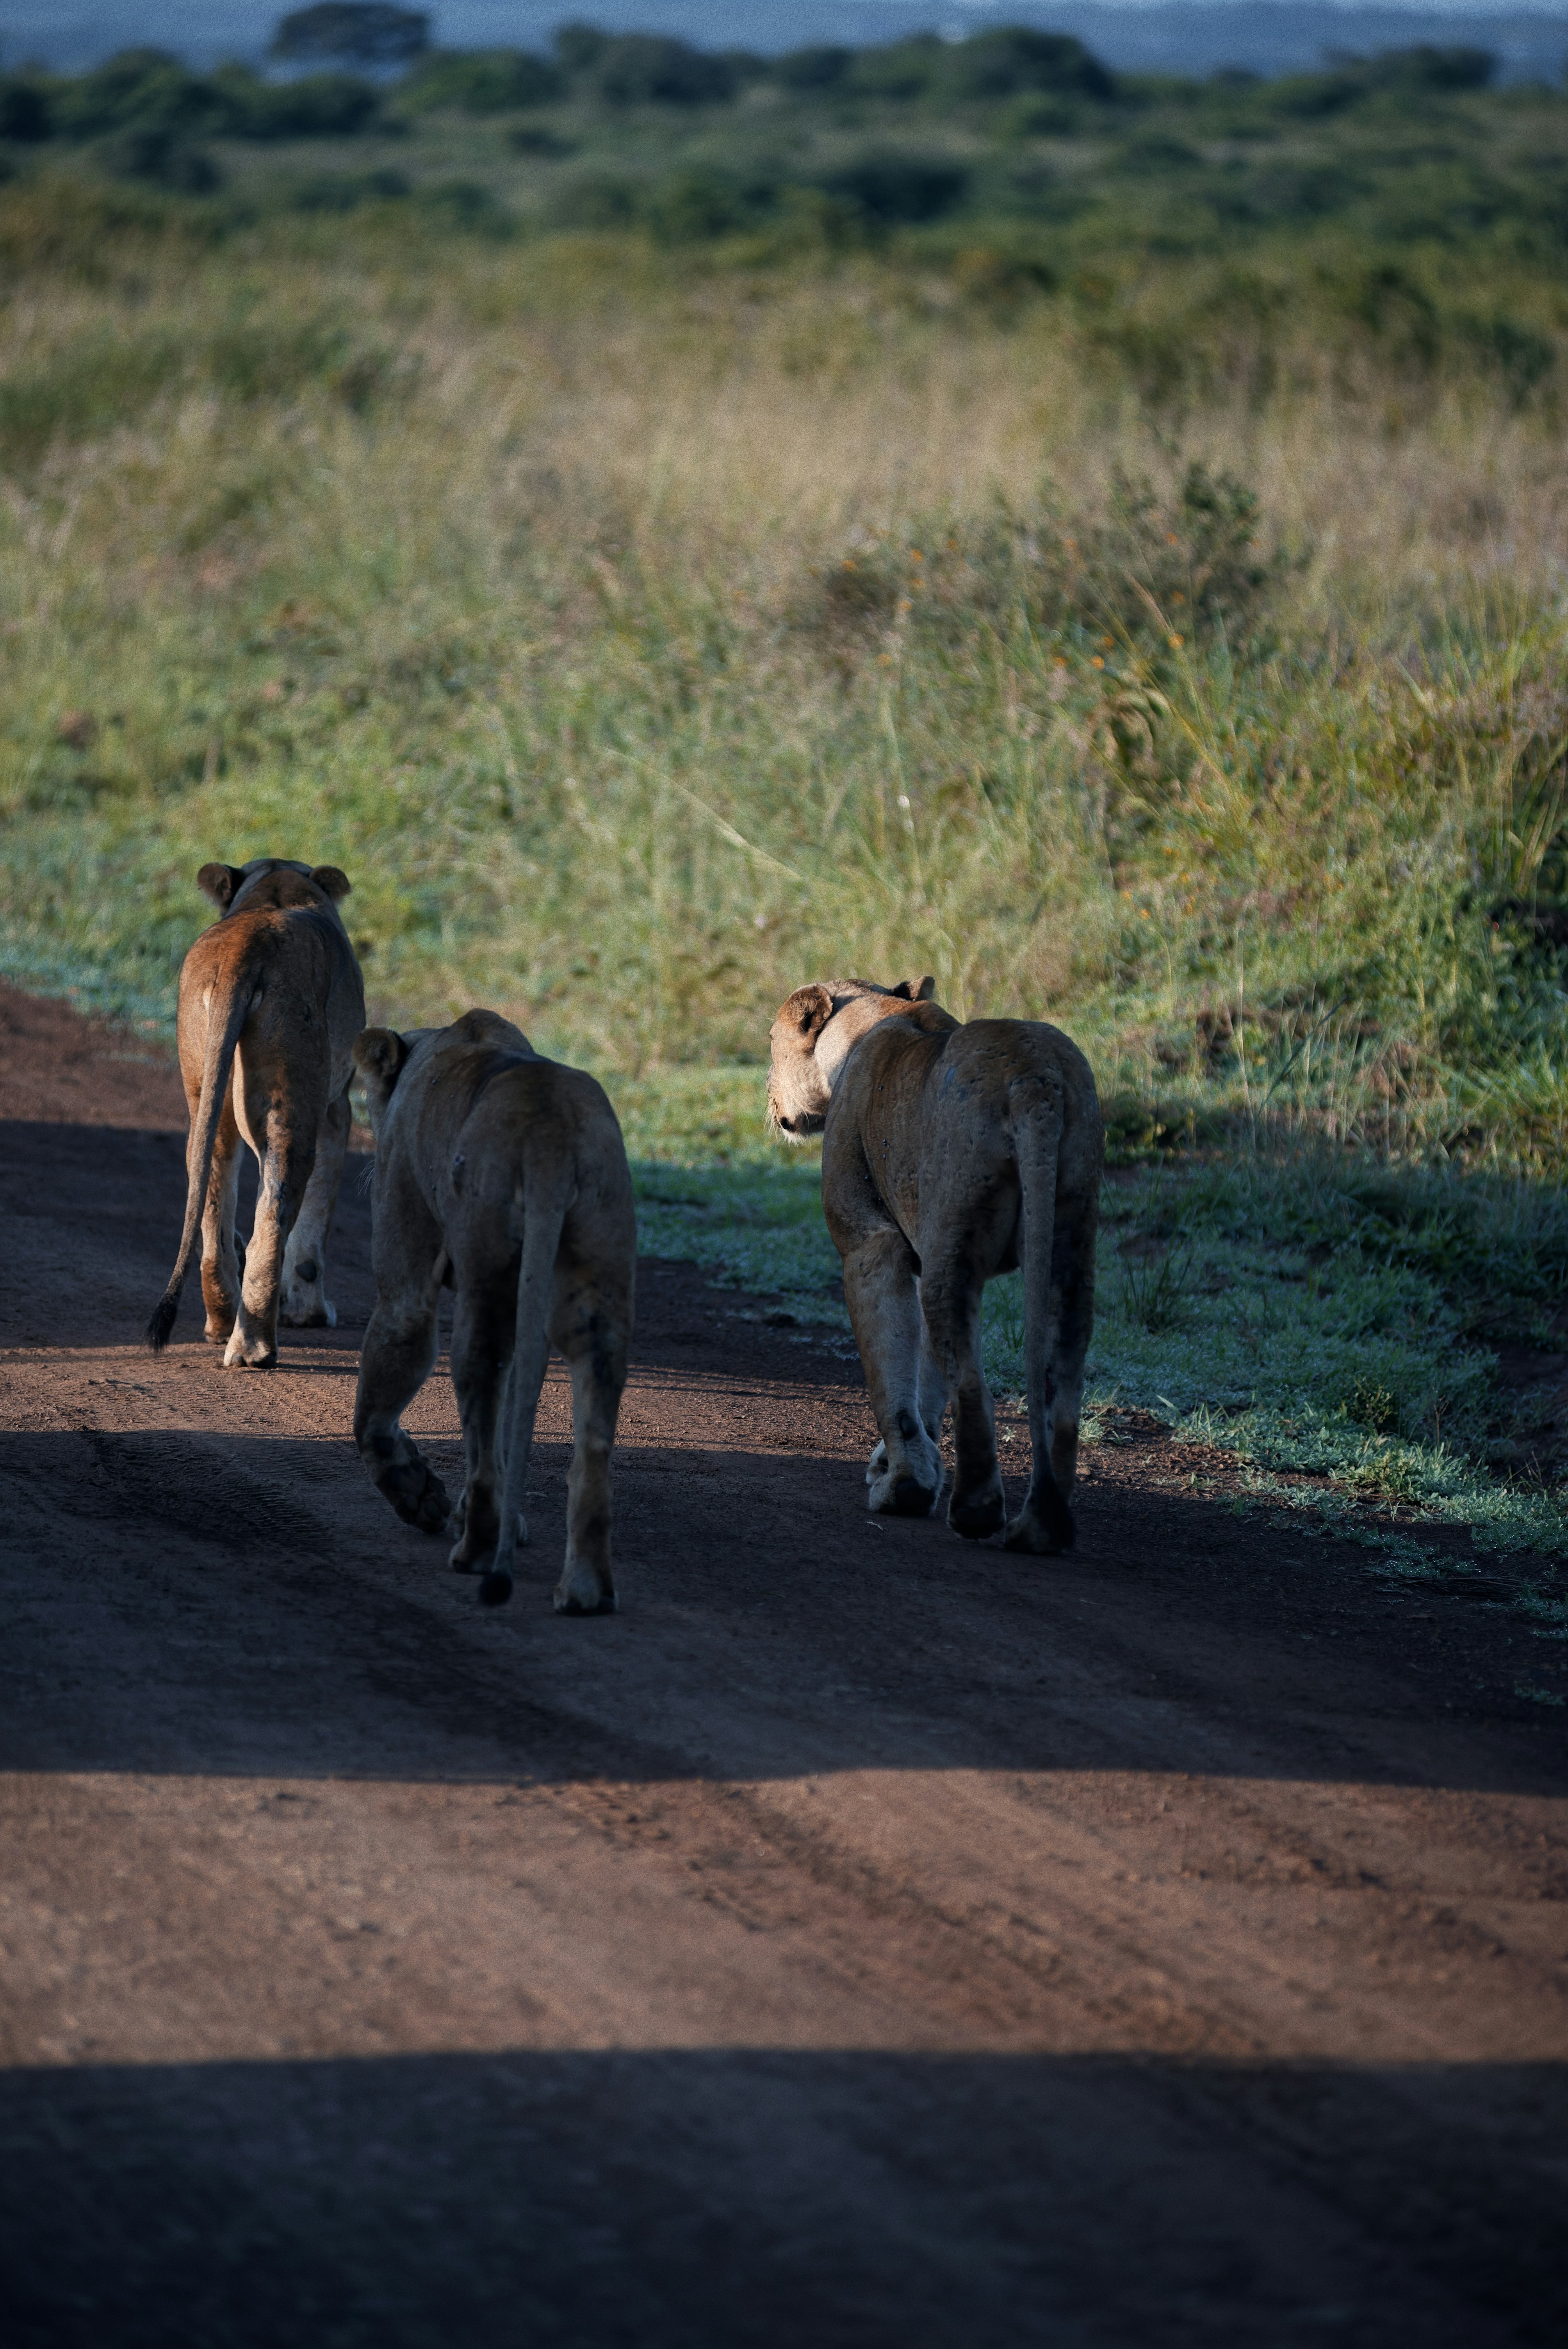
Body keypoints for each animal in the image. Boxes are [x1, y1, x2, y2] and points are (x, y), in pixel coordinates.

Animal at [145, 858, 365, 1367]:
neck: (277, 883)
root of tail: (245, 947)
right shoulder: (337, 1106)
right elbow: (315, 1220)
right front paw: (310, 1313)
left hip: (206, 1088)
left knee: (210, 1187)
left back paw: (222, 1320)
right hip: (291, 1104)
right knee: (276, 1208)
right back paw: (254, 1346)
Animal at [351, 1008, 636, 1612]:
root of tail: (551, 1136)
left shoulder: (405, 1271)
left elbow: (376, 1404)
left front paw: (416, 1494)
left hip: (488, 1265)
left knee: (481, 1377)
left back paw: (478, 1547)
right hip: (596, 1266)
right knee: (589, 1419)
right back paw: (585, 1590)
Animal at [767, 977, 1103, 1554]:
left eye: (770, 1042)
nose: (769, 1099)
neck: (875, 1013)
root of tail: (1034, 1079)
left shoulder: (869, 1244)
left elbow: (893, 1379)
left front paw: (905, 1485)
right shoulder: (919, 1254)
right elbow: (923, 1382)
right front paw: (903, 1466)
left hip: (955, 1239)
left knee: (970, 1382)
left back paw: (974, 1511)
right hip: (1070, 1239)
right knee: (1063, 1386)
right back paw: (1044, 1528)